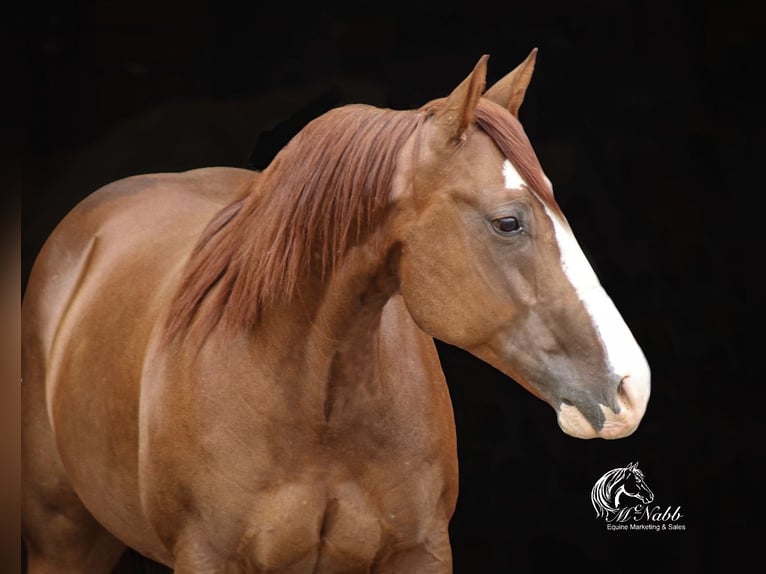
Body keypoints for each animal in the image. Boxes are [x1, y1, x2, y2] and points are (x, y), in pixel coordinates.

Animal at [21, 50, 651, 573]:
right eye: (508, 222)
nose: (632, 387)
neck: (313, 408)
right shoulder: (206, 557)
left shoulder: (419, 552)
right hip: (63, 538)